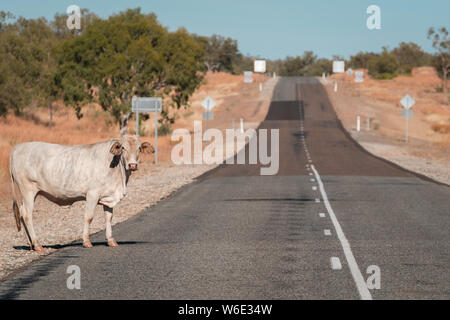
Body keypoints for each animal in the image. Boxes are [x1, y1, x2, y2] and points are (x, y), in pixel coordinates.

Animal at [10, 131, 153, 251]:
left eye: (139, 148)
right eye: (123, 148)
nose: (132, 165)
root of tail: (18, 147)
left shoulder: (108, 196)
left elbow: (109, 218)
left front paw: (111, 241)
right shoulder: (92, 194)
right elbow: (89, 217)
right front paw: (86, 241)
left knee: (22, 213)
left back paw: (30, 244)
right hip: (28, 190)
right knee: (27, 215)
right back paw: (37, 244)